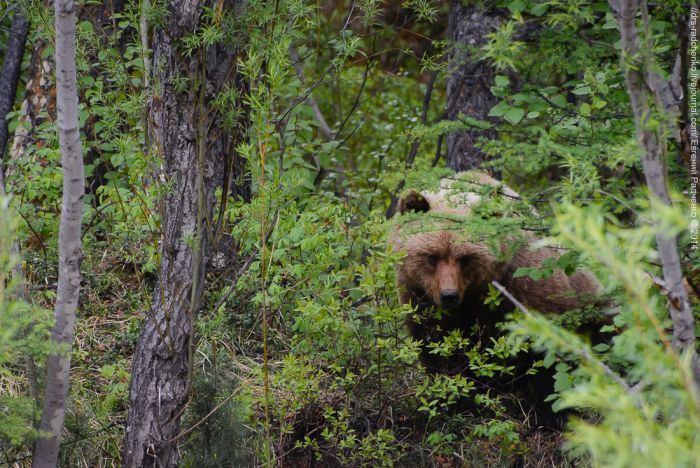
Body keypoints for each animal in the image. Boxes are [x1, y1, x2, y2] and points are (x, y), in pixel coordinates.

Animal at [392, 173, 604, 428]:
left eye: (465, 258)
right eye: (432, 256)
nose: (449, 295)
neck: (475, 292)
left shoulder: (524, 285)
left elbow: (548, 355)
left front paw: (551, 415)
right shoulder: (421, 297)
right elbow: (439, 350)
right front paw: (459, 404)